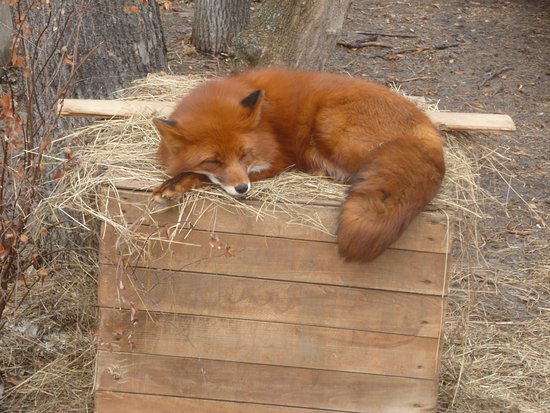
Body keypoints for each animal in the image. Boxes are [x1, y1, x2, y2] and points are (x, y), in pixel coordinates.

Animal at [153, 67, 446, 260]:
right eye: (214, 160)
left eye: (244, 154)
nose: (242, 189)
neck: (267, 124)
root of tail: (429, 130)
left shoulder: (276, 160)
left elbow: (202, 178)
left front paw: (174, 184)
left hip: (329, 121)